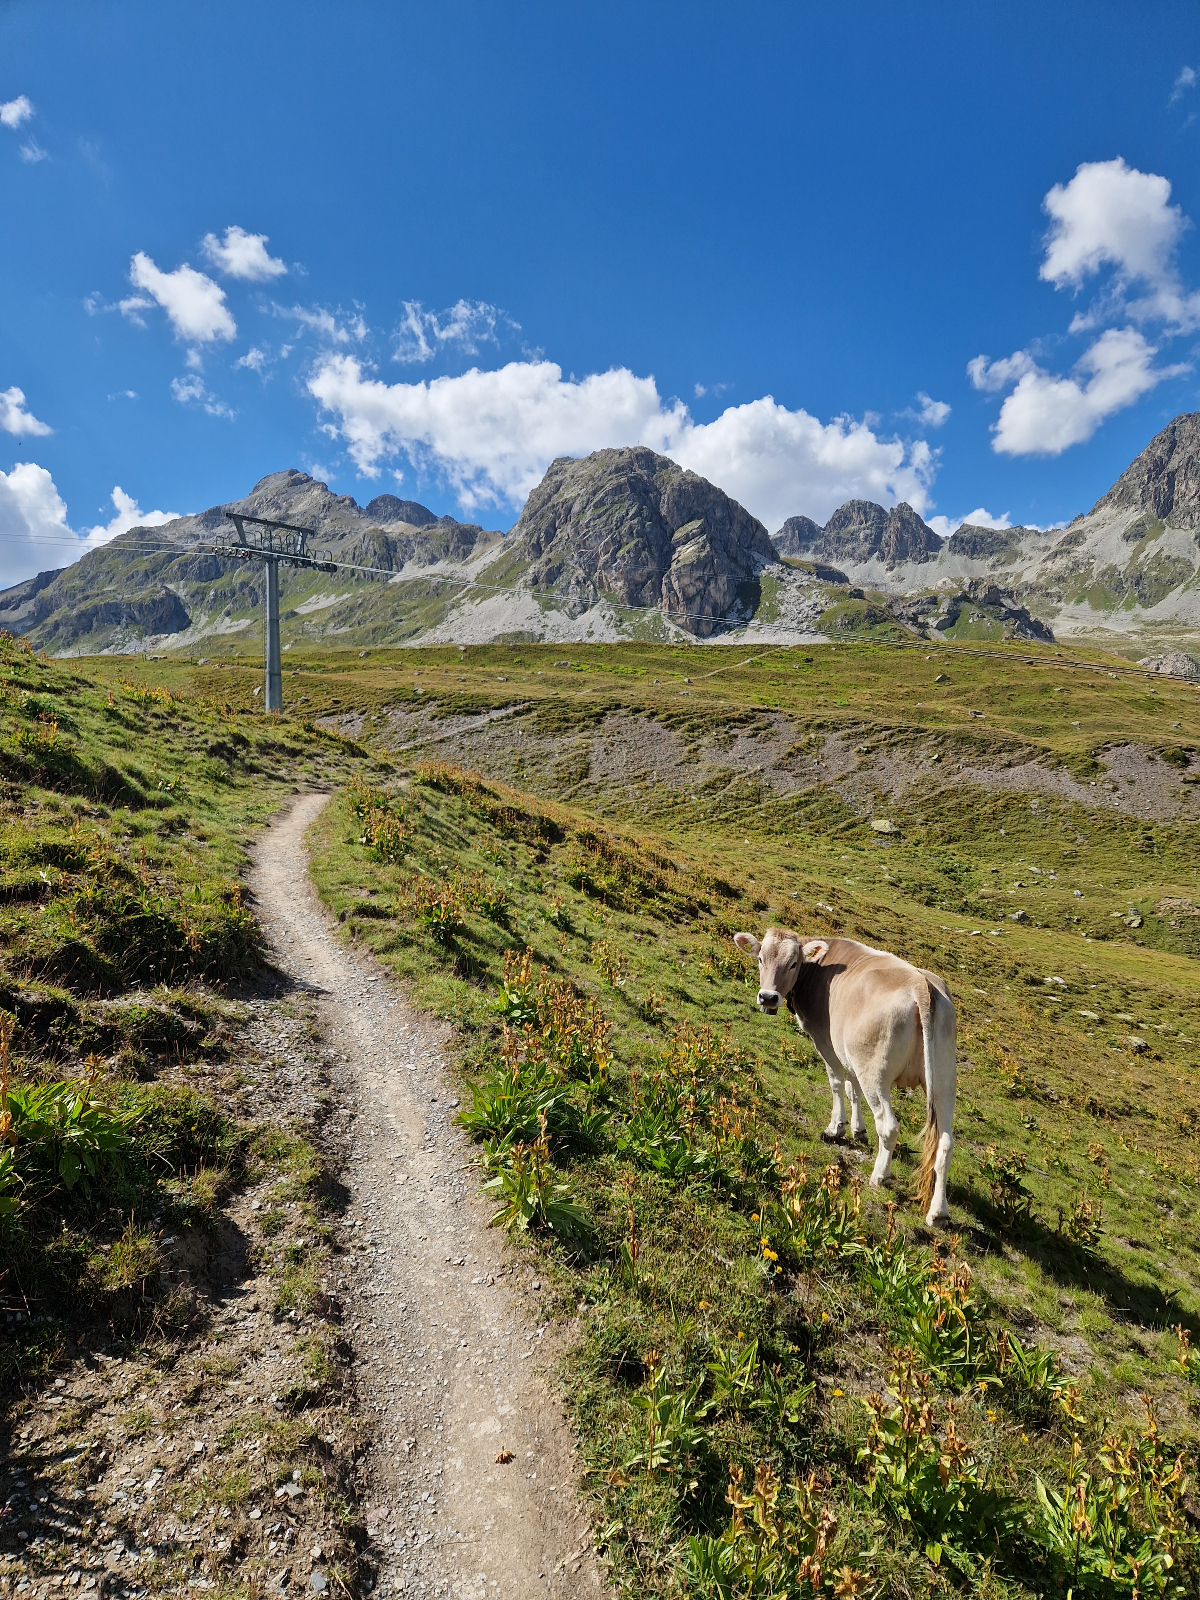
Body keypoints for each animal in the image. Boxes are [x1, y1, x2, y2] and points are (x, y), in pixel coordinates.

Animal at [732, 928, 960, 1222]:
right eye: (760, 958)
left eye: (793, 963)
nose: (768, 997)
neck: (817, 970)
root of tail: (920, 983)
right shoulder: (850, 1054)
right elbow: (853, 1090)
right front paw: (858, 1129)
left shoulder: (826, 1041)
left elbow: (837, 1083)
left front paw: (836, 1127)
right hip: (944, 1079)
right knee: (945, 1143)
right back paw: (938, 1212)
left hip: (875, 1073)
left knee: (889, 1126)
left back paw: (880, 1176)